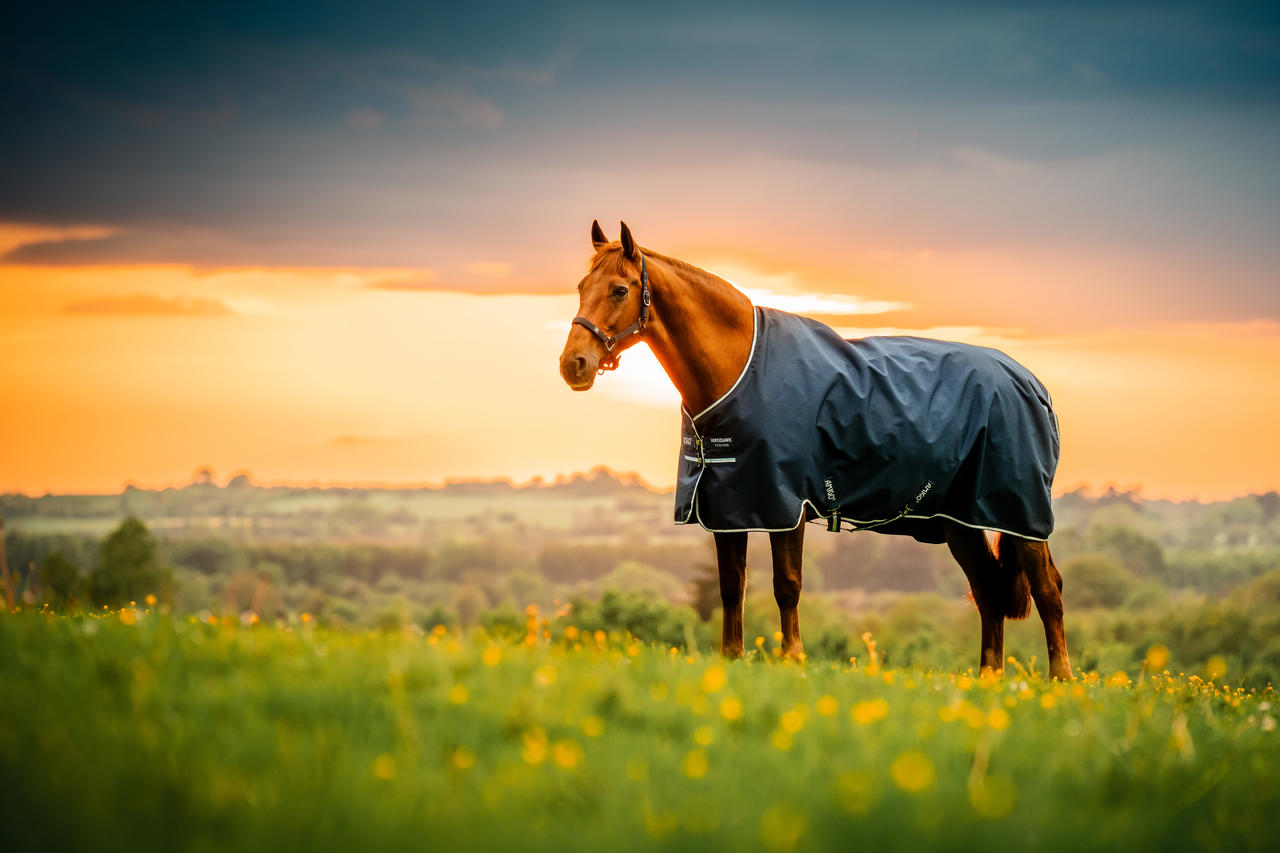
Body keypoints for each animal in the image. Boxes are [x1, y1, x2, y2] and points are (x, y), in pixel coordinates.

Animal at [559, 220, 1072, 680]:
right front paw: (732, 658)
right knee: (987, 589)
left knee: (1048, 589)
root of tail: (1032, 384)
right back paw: (989, 678)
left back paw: (1061, 680)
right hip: (958, 520)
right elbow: (731, 587)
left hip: (1021, 513)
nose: (573, 365)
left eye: (620, 290)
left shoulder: (785, 504)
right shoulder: (728, 506)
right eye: (582, 285)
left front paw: (793, 659)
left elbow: (787, 585)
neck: (739, 369)